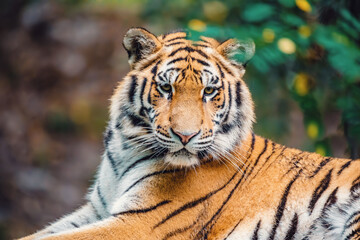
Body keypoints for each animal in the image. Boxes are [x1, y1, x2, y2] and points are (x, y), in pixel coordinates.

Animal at [21, 27, 360, 239]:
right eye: (165, 87)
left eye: (209, 91)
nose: (185, 136)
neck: (126, 149)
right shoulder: (97, 209)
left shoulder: (141, 222)